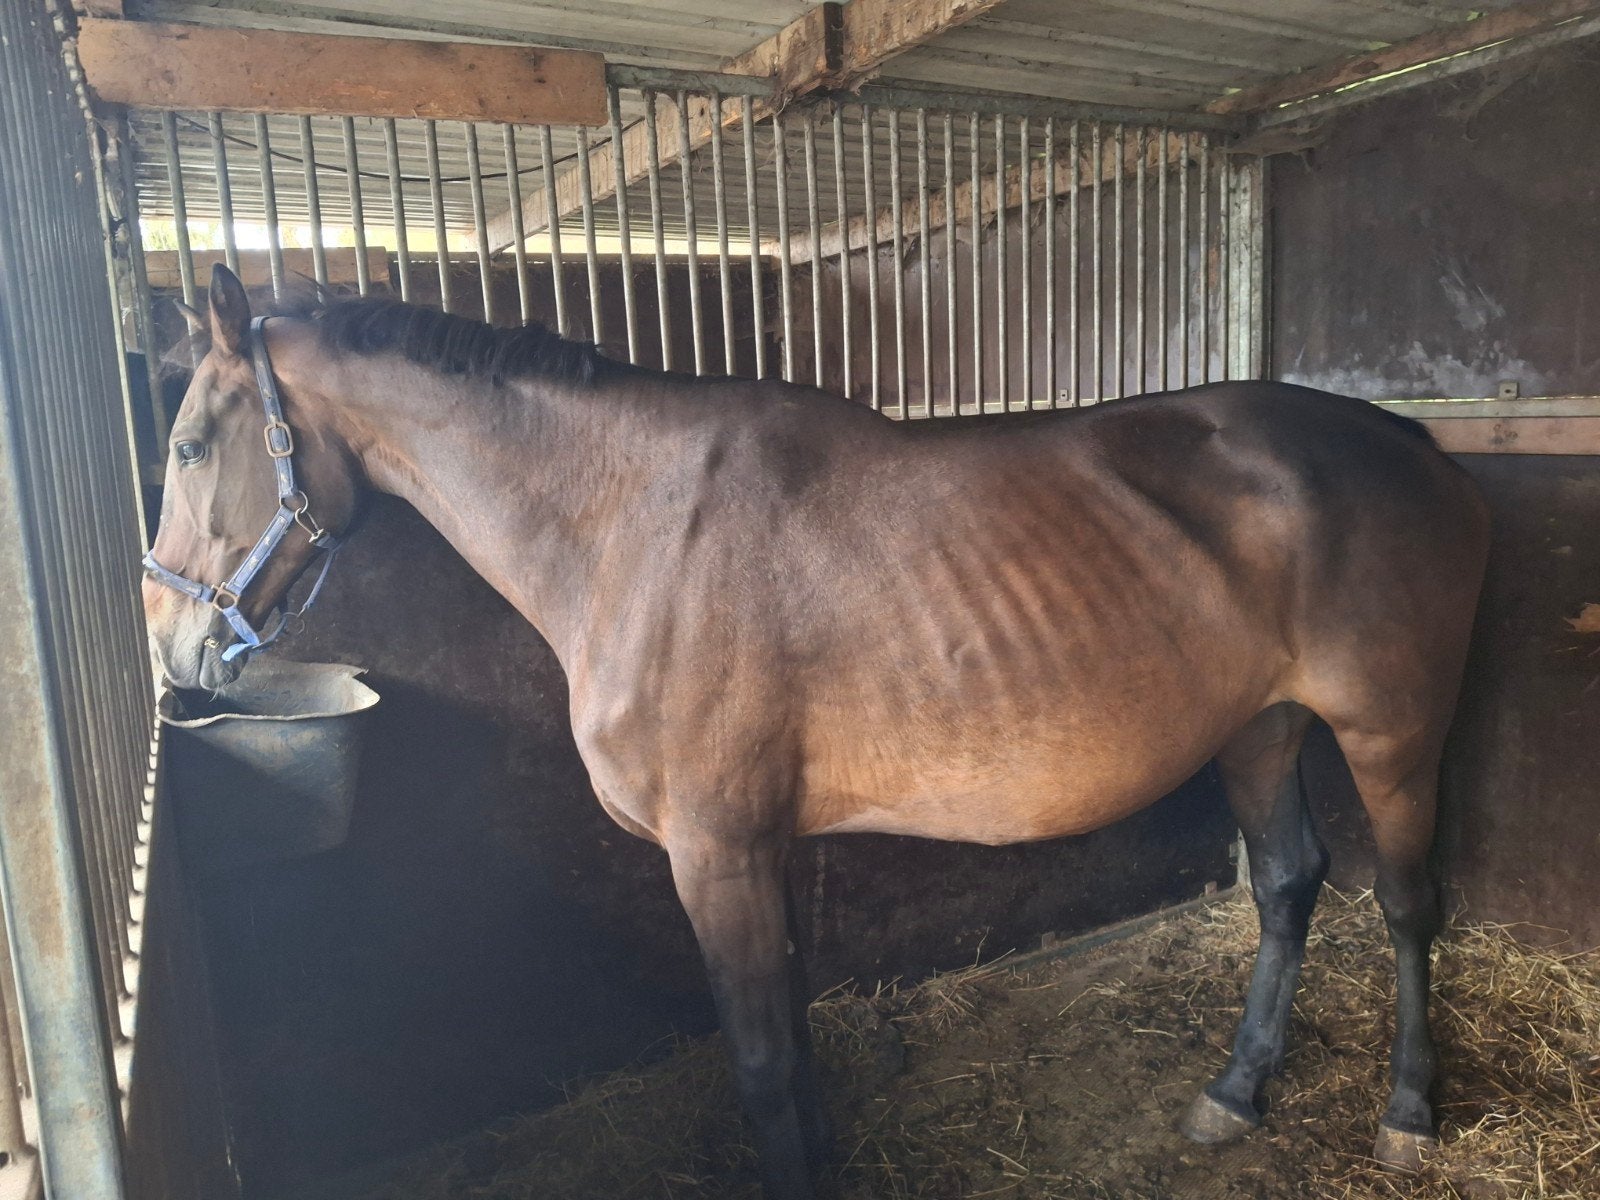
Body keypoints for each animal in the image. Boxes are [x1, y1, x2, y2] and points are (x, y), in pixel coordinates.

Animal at [143, 264, 1489, 1199]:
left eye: (190, 442)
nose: (173, 651)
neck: (635, 529)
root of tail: (1406, 442)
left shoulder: (716, 852)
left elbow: (761, 1065)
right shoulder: (760, 850)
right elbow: (788, 1038)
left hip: (1391, 733)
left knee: (1405, 903)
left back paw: (1408, 1113)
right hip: (1260, 727)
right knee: (1286, 883)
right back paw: (1235, 1090)